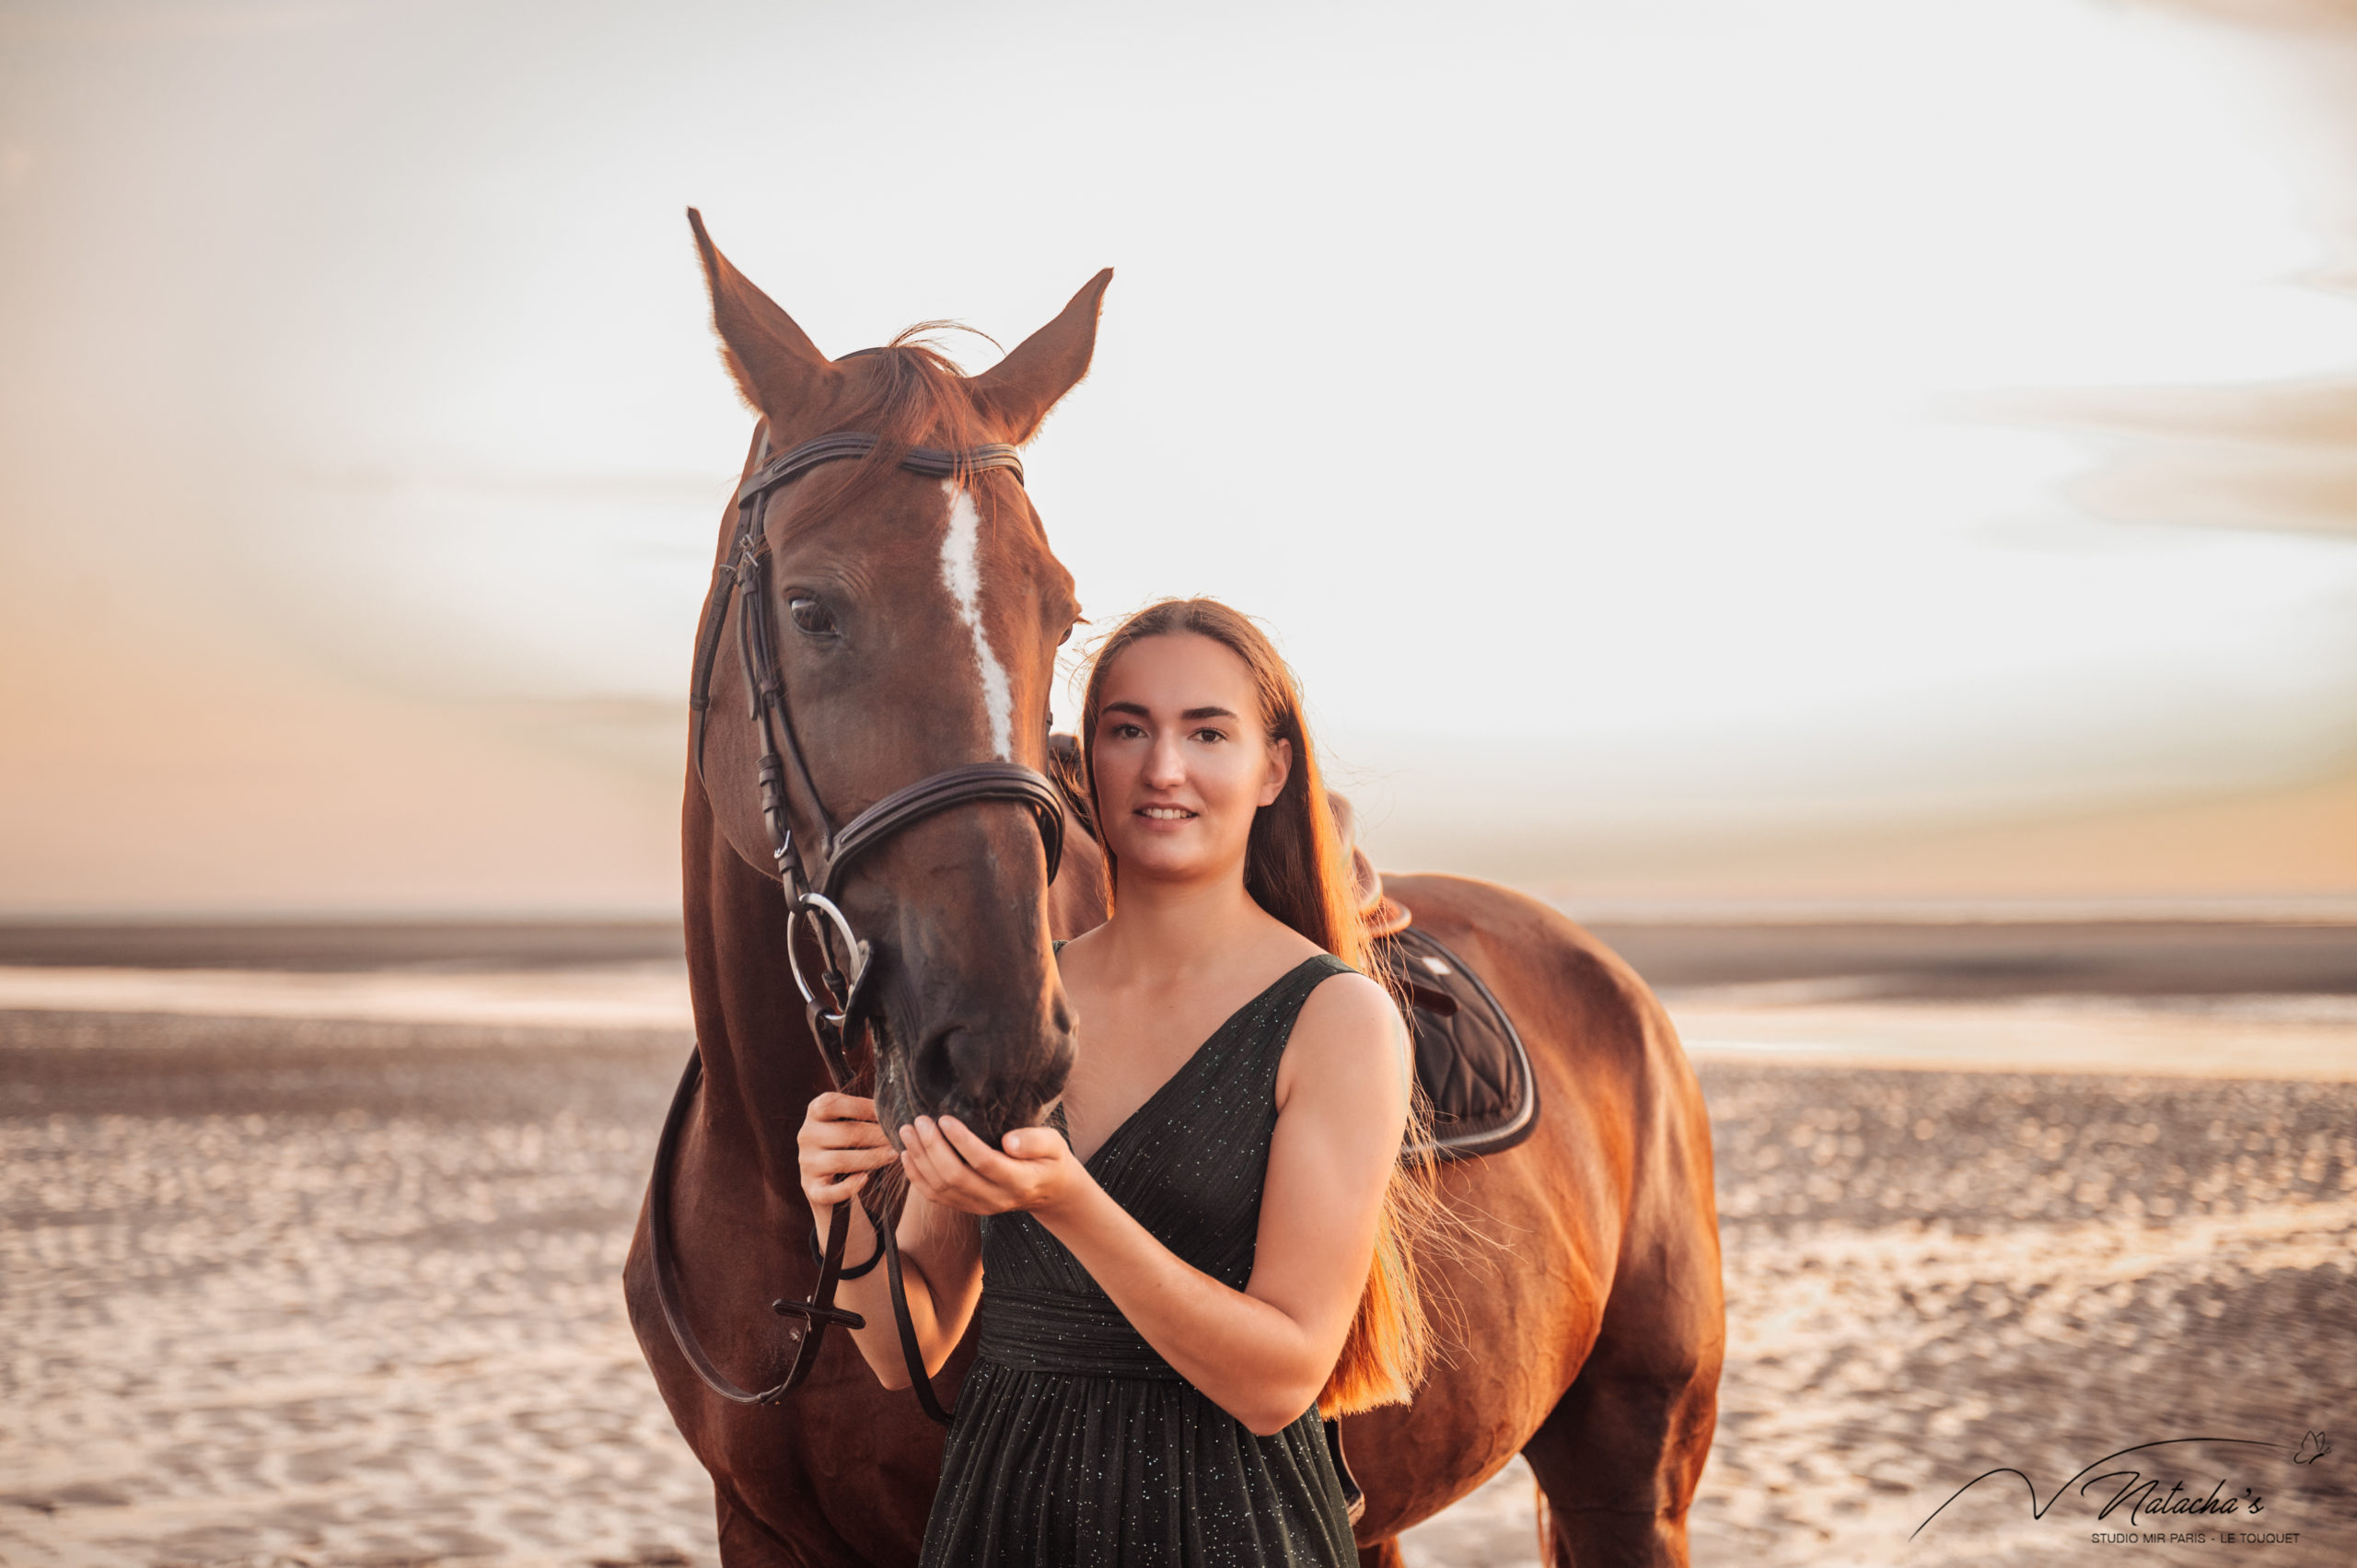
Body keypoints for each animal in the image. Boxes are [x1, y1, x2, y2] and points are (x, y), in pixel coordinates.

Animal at [621, 211, 1735, 1565]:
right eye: (810, 606)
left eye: (1060, 614)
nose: (1001, 1053)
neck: (788, 1227)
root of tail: (1614, 981)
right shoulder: (760, 1525)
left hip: (1631, 1476)